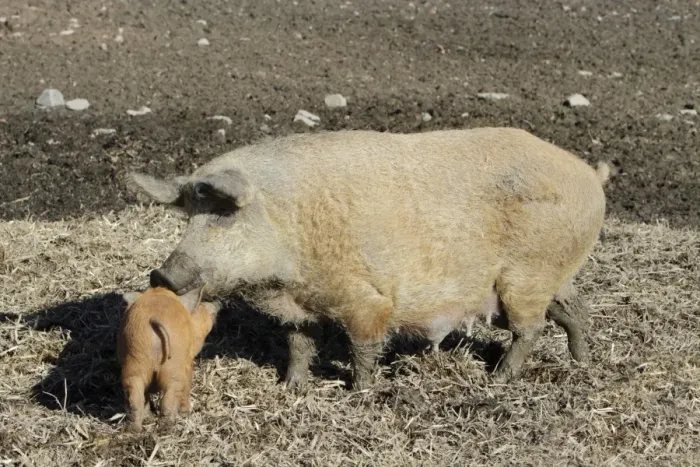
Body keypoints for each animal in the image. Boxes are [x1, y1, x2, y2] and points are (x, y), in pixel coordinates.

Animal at [117, 285, 219, 432]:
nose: (216, 303)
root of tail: (153, 321)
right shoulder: (188, 363)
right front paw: (185, 413)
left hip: (134, 363)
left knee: (135, 397)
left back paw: (136, 428)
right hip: (172, 366)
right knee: (170, 396)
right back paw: (167, 427)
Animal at [127, 127, 609, 390]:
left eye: (224, 214)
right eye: (189, 216)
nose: (162, 274)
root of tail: (589, 174)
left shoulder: (366, 299)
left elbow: (364, 345)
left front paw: (359, 391)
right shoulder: (300, 306)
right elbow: (299, 344)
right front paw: (291, 386)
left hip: (524, 278)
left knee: (531, 328)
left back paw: (499, 379)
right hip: (553, 275)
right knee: (574, 310)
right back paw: (582, 362)